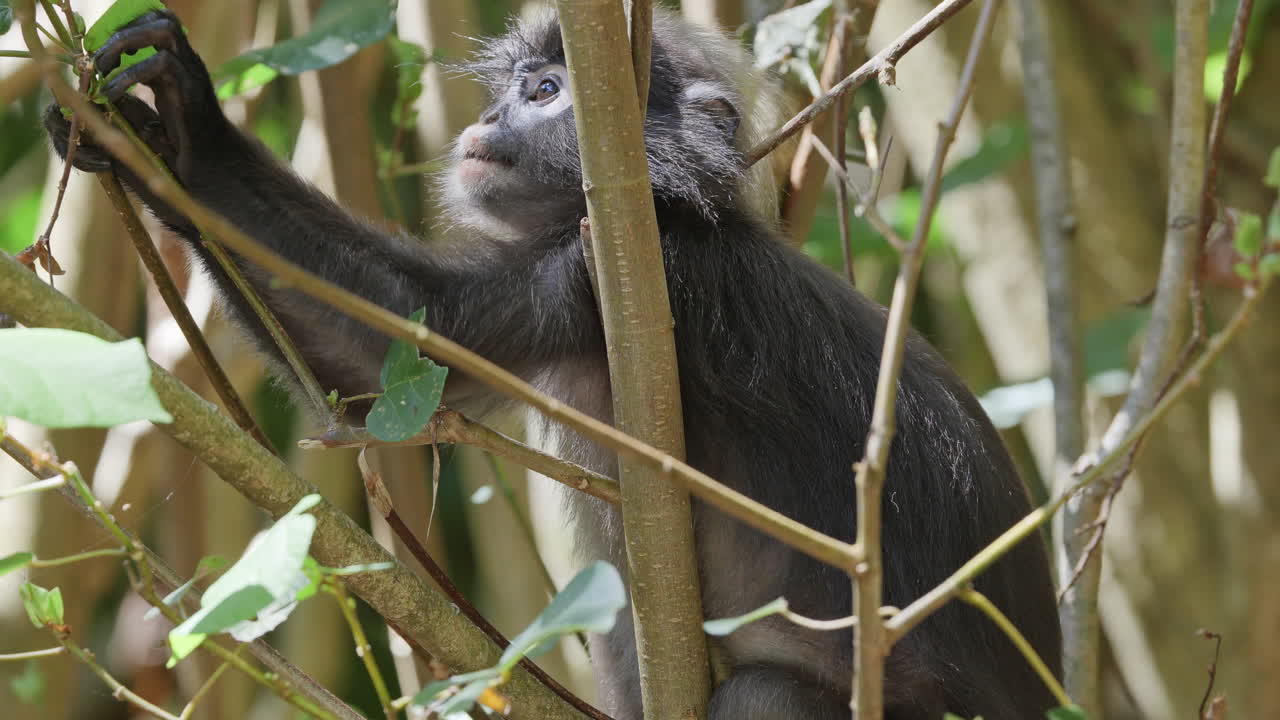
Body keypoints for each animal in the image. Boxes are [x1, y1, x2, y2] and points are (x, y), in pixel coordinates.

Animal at [45, 8, 1062, 720]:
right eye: (517, 90)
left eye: (543, 94)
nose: (492, 115)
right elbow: (388, 368)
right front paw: (157, 137)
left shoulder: (616, 268)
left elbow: (417, 333)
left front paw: (193, 125)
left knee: (764, 696)